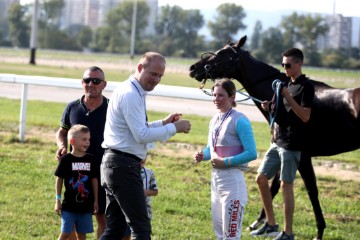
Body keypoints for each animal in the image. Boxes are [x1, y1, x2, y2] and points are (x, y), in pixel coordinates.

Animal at [188, 35, 360, 240]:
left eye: (222, 54)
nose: (194, 68)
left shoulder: (301, 156)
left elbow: (311, 190)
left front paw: (319, 231)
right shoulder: (281, 151)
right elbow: (273, 186)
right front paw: (261, 223)